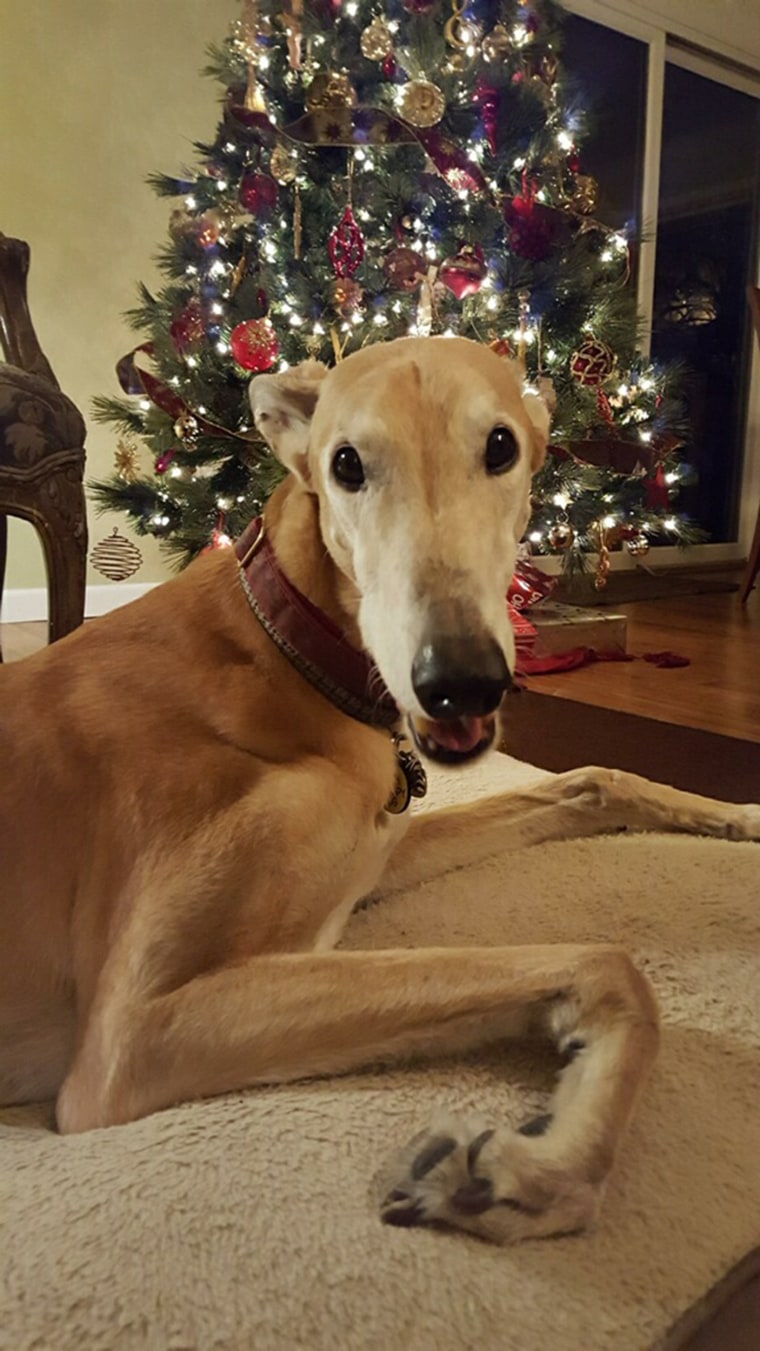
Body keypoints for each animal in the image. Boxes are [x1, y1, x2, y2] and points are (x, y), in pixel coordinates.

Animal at [1, 340, 760, 1242]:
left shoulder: (375, 848)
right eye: (346, 464)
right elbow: (607, 960)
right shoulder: (132, 1034)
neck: (285, 648)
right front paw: (526, 1172)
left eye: (501, 446)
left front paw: (738, 811)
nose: (460, 683)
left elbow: (595, 780)